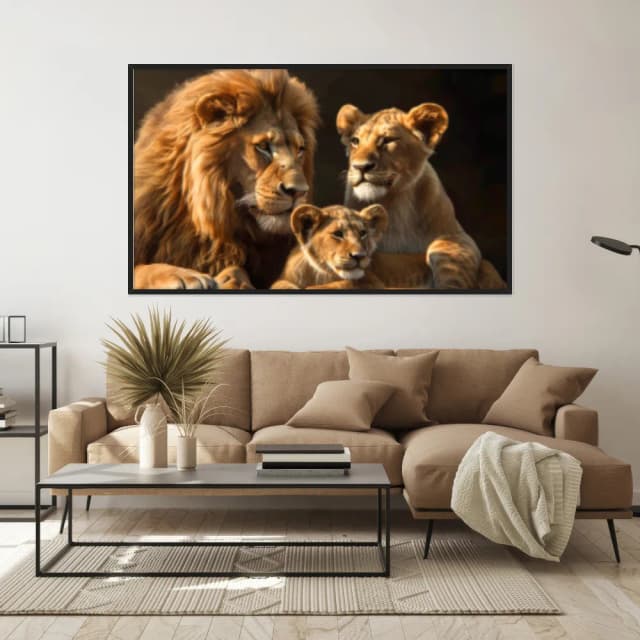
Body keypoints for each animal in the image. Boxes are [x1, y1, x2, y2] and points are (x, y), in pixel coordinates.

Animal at [336, 102, 507, 290]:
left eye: (388, 140)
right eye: (355, 141)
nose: (360, 167)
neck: (393, 203)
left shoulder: (462, 237)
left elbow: (446, 251)